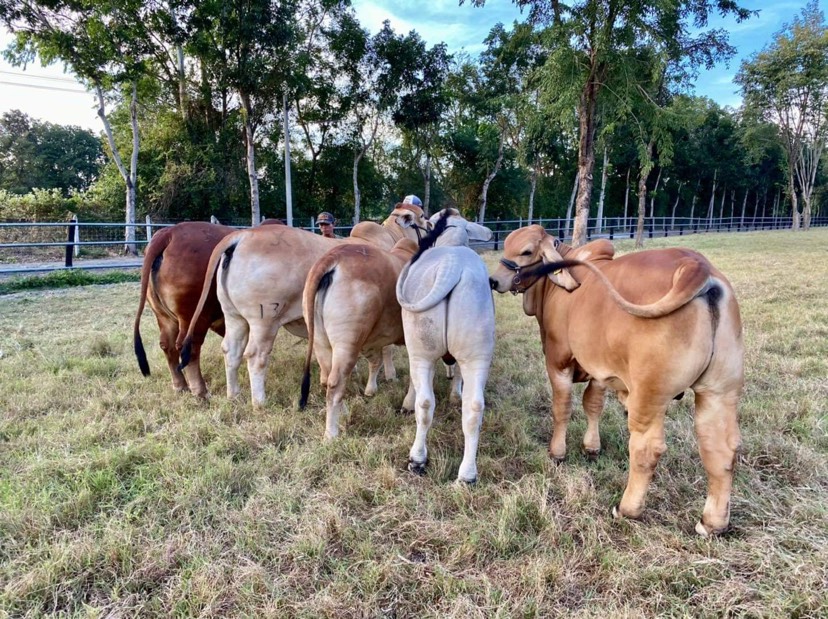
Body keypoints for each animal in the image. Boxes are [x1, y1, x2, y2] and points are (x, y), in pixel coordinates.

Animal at [178, 206, 430, 406]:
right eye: (423, 217)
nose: (430, 225)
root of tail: (242, 236)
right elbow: (385, 349)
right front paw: (390, 376)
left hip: (234, 316)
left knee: (231, 350)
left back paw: (234, 395)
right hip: (264, 320)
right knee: (255, 356)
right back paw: (259, 402)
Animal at [300, 239, 420, 440]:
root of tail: (332, 257)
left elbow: (378, 361)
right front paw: (409, 404)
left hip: (320, 342)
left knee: (326, 379)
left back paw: (344, 413)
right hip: (347, 344)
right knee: (335, 383)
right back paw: (331, 434)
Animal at [392, 209, 492, 484]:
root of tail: (452, 266)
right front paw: (455, 394)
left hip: (421, 350)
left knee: (425, 403)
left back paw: (417, 459)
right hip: (477, 352)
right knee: (474, 408)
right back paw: (467, 475)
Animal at [488, 225, 748, 536]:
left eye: (526, 251)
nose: (494, 280)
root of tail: (696, 266)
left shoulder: (557, 361)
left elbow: (562, 408)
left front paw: (557, 452)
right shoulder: (602, 372)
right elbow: (593, 405)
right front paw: (591, 447)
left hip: (649, 395)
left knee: (646, 449)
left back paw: (627, 509)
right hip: (719, 392)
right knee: (719, 450)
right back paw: (712, 523)